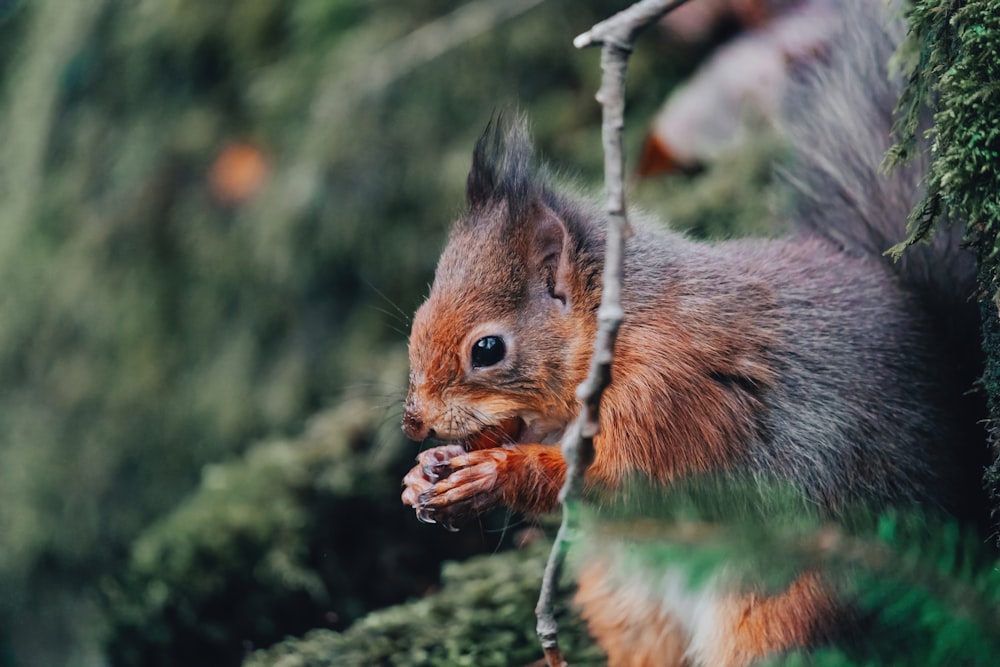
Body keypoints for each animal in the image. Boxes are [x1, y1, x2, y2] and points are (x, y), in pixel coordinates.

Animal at [400, 2, 984, 664]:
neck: (619, 335)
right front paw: (426, 472)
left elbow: (622, 482)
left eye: (487, 349)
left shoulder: (673, 395)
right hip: (627, 604)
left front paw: (494, 472)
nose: (413, 420)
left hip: (788, 607)